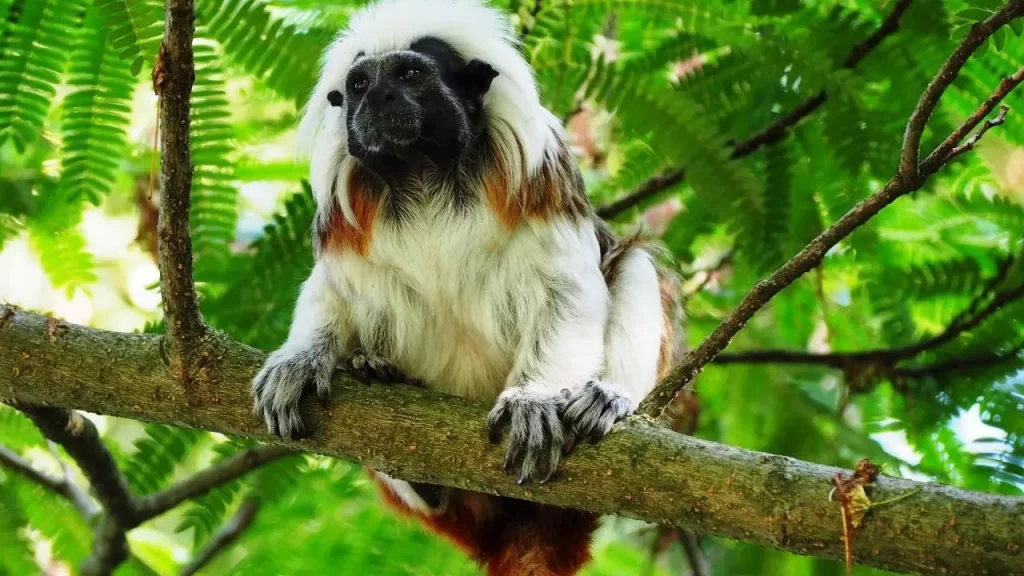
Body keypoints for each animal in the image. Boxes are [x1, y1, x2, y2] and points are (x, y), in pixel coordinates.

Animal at [250, 0, 677, 573]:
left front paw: (533, 399)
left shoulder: (542, 176)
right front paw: (300, 361)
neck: (423, 174)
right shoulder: (343, 213)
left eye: (409, 74)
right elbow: (333, 290)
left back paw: (608, 398)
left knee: (634, 265)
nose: (379, 98)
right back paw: (398, 425)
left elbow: (567, 291)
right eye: (360, 84)